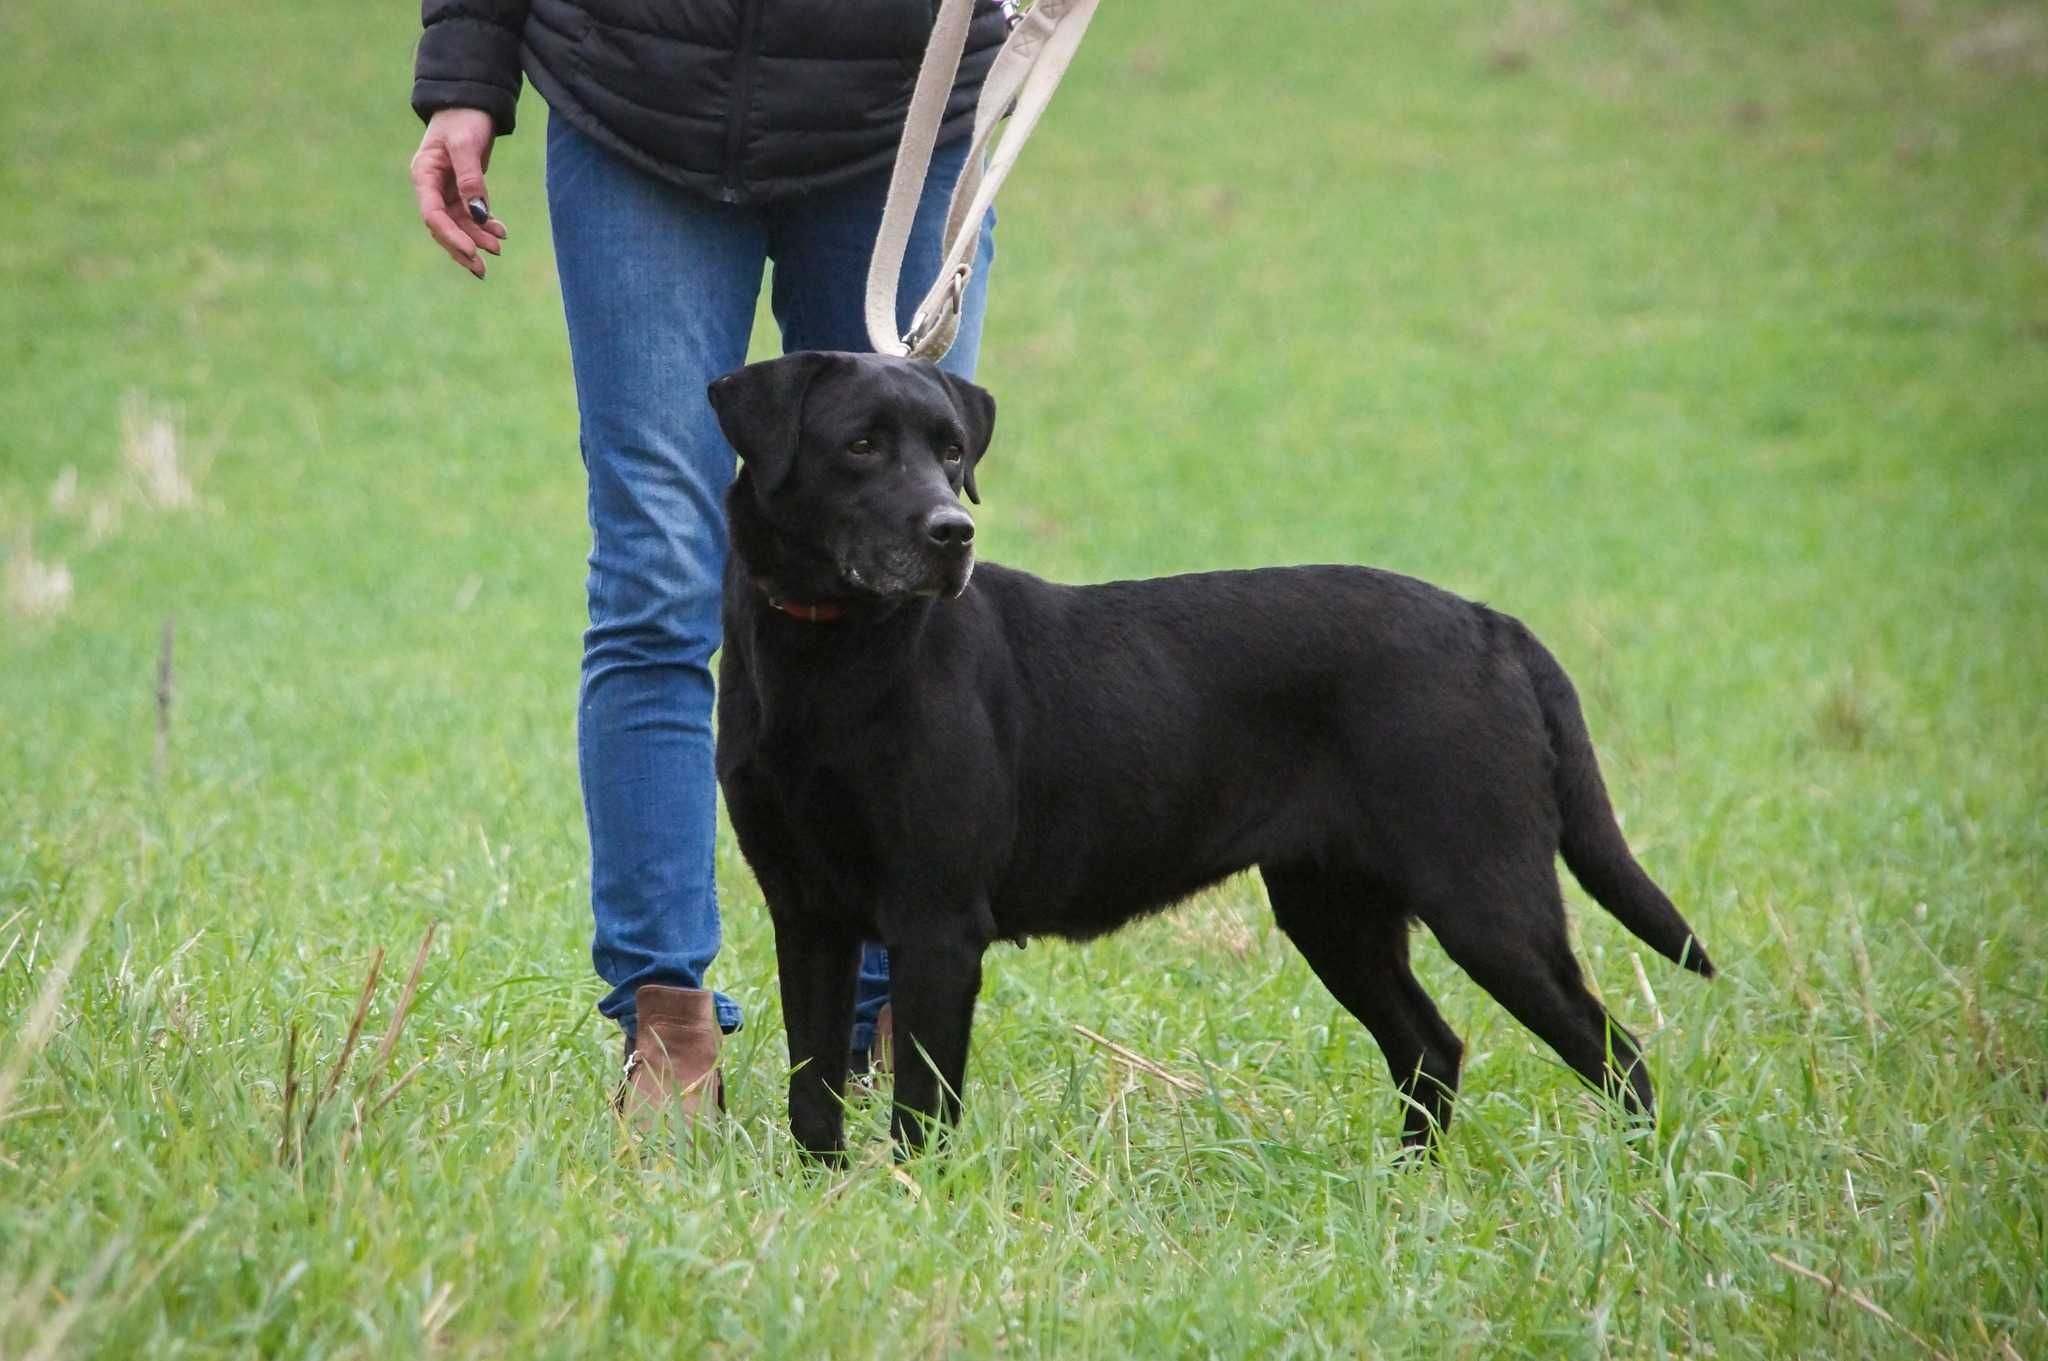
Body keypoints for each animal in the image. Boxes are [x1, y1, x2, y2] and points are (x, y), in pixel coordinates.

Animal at [712, 349, 1720, 1154]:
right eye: (860, 445)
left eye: (952, 450)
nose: (951, 532)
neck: (829, 659)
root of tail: (1495, 624)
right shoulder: (806, 912)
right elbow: (812, 1088)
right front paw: (826, 1195)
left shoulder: (936, 918)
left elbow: (920, 1106)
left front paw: (915, 1199)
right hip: (1333, 908)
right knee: (1432, 1045)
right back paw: (1409, 1188)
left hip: (1486, 896)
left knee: (1614, 1050)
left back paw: (1636, 1184)